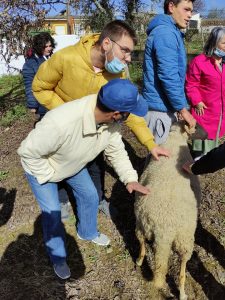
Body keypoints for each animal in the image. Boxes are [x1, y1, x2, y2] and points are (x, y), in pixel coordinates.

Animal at [134, 122, 201, 300]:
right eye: (197, 126)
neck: (175, 136)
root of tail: (164, 229)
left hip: (142, 224)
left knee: (141, 242)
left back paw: (139, 261)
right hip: (185, 240)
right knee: (182, 270)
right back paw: (183, 293)